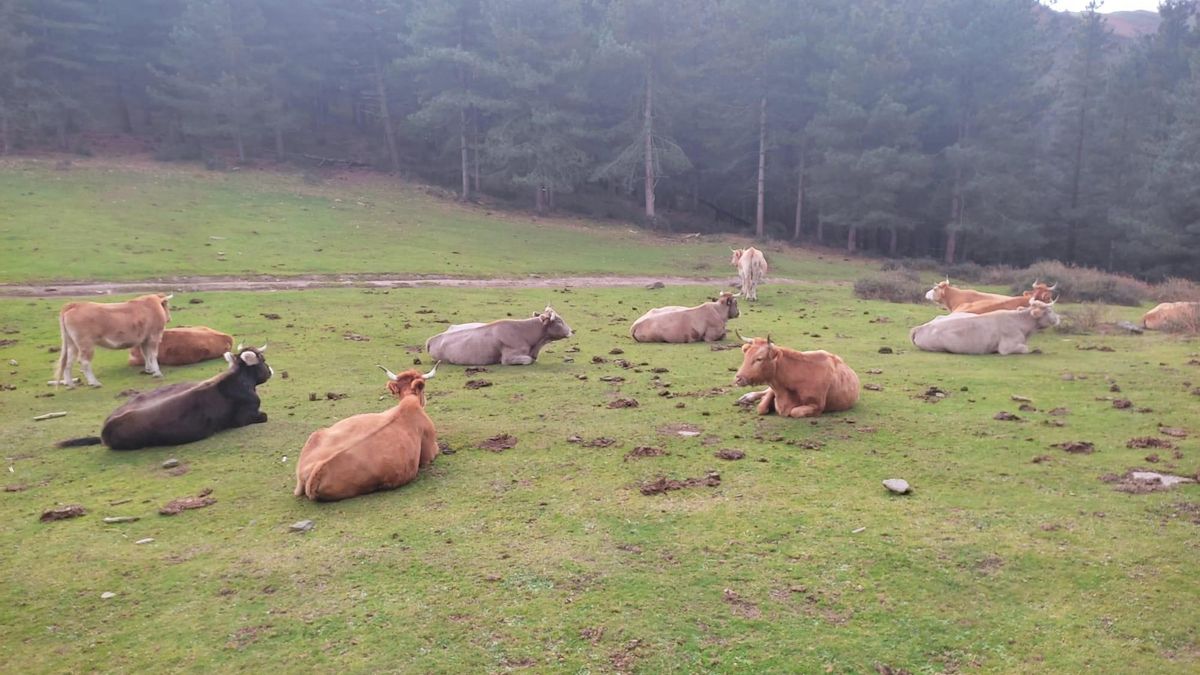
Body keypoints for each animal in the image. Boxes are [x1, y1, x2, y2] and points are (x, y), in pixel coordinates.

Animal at [54, 346, 272, 450]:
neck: (238, 380)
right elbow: (264, 416)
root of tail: (104, 430)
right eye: (262, 360)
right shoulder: (244, 418)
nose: (270, 370)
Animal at [732, 333, 860, 418]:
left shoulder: (817, 406)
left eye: (759, 359)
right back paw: (747, 397)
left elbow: (795, 411)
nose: (738, 378)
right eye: (746, 356)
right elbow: (762, 407)